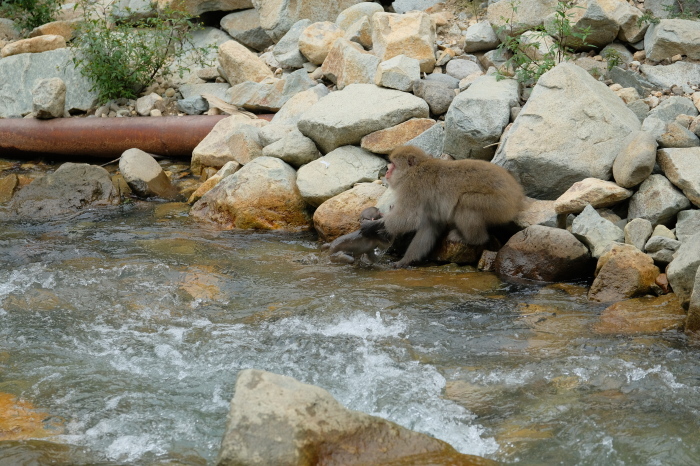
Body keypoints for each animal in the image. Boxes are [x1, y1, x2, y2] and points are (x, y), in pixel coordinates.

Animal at [364, 146, 524, 270]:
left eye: (393, 165)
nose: (387, 172)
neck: (414, 170)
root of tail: (517, 196)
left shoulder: (411, 188)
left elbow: (409, 219)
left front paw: (376, 224)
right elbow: (430, 226)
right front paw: (406, 260)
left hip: (497, 204)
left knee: (465, 202)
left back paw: (473, 239)